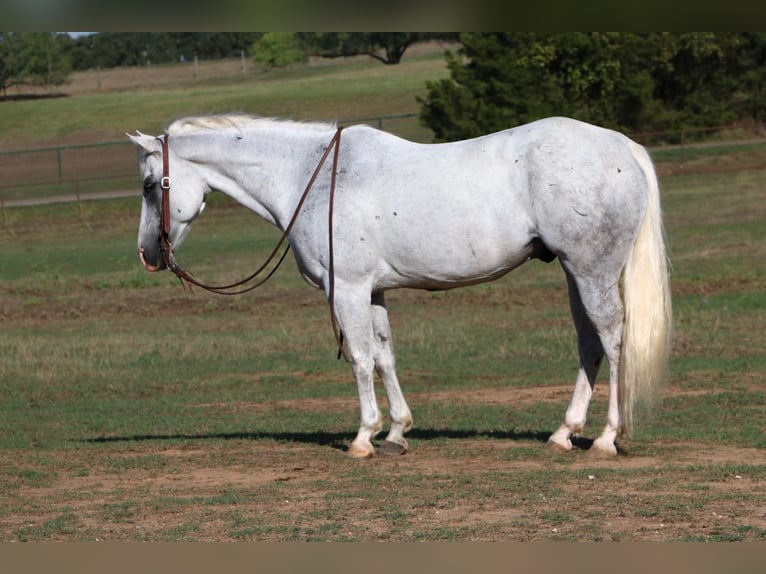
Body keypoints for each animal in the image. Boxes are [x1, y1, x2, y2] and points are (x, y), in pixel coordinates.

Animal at [129, 115, 676, 462]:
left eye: (150, 185)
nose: (149, 254)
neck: (312, 177)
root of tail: (621, 146)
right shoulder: (372, 292)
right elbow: (385, 356)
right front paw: (396, 432)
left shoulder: (347, 290)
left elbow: (359, 359)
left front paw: (363, 437)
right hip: (575, 272)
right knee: (588, 343)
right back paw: (564, 433)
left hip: (592, 271)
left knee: (612, 339)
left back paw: (606, 438)